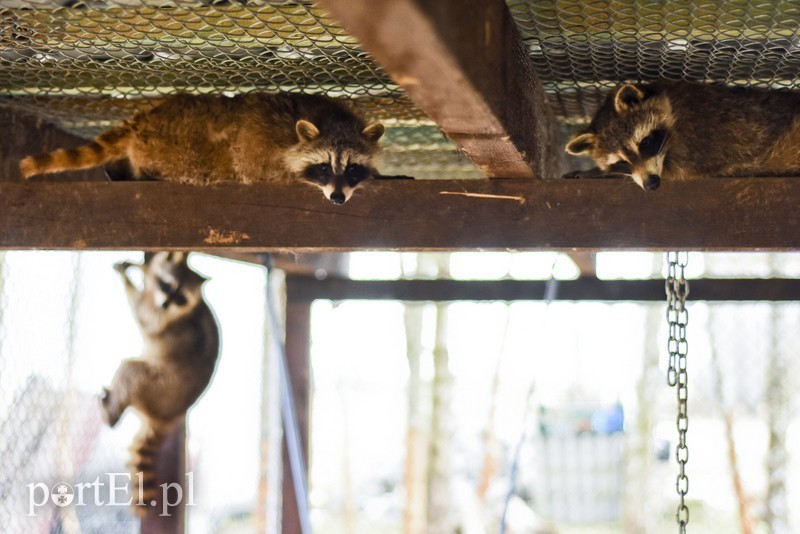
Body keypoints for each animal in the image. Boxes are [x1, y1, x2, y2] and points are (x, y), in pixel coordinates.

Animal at [19, 93, 388, 204]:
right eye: (324, 166)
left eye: (352, 168)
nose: (337, 198)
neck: (328, 117)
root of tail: (144, 116)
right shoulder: (262, 154)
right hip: (168, 149)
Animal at [101, 251, 219, 516]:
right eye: (167, 285)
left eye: (181, 298)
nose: (166, 304)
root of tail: (166, 418)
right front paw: (140, 269)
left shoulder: (165, 320)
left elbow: (144, 315)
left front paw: (128, 281)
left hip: (159, 386)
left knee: (130, 370)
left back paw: (111, 414)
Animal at [564, 81, 800, 191]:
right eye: (621, 162)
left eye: (645, 142)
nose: (651, 184)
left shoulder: (697, 140)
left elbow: (675, 173)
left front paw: (596, 173)